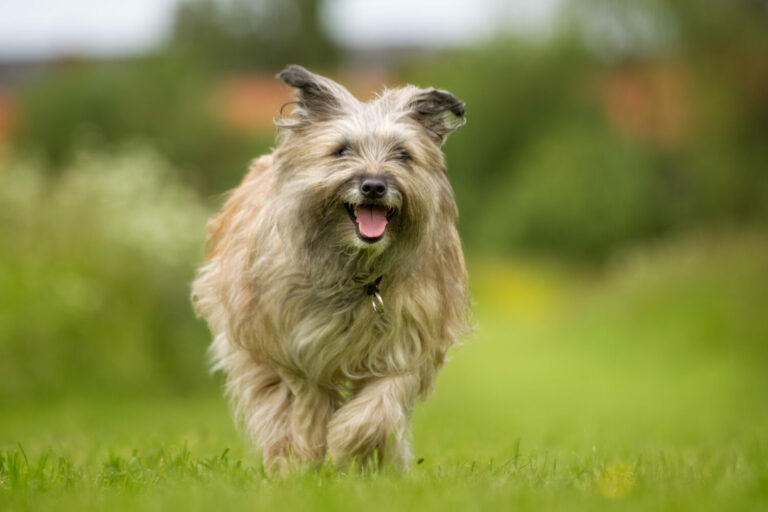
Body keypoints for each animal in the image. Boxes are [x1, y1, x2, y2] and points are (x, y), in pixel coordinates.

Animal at [192, 65, 468, 472]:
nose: (374, 186)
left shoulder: (409, 341)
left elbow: (381, 405)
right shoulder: (294, 348)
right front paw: (308, 455)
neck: (358, 274)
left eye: (403, 154)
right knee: (272, 405)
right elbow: (306, 404)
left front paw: (354, 444)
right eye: (341, 150)